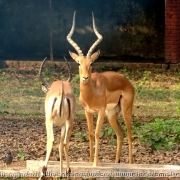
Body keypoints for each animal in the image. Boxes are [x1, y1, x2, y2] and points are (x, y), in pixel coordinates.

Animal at [67, 11, 134, 166]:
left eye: (91, 62)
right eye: (78, 62)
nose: (85, 78)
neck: (92, 92)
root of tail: (127, 81)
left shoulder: (101, 110)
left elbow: (97, 133)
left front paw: (96, 163)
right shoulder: (88, 111)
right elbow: (91, 134)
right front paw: (90, 161)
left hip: (125, 111)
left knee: (129, 135)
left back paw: (131, 163)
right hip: (112, 114)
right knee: (120, 135)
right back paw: (116, 163)